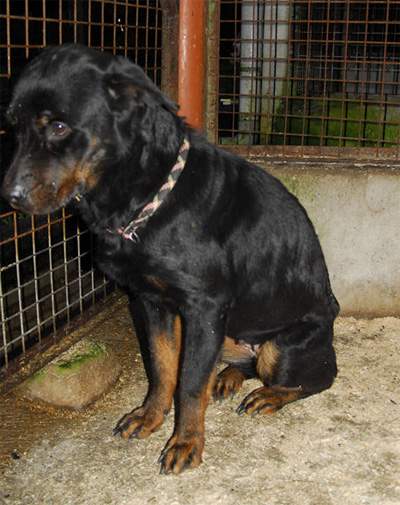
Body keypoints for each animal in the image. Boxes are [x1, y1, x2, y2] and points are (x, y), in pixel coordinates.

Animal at [1, 44, 339, 475]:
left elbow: (190, 384)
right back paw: (228, 376)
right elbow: (163, 368)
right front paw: (150, 416)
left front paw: (186, 442)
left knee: (317, 379)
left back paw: (271, 395)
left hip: (280, 348)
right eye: (13, 128)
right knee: (241, 366)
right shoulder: (152, 303)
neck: (147, 197)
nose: (10, 197)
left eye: (59, 127)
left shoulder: (204, 309)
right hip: (226, 338)